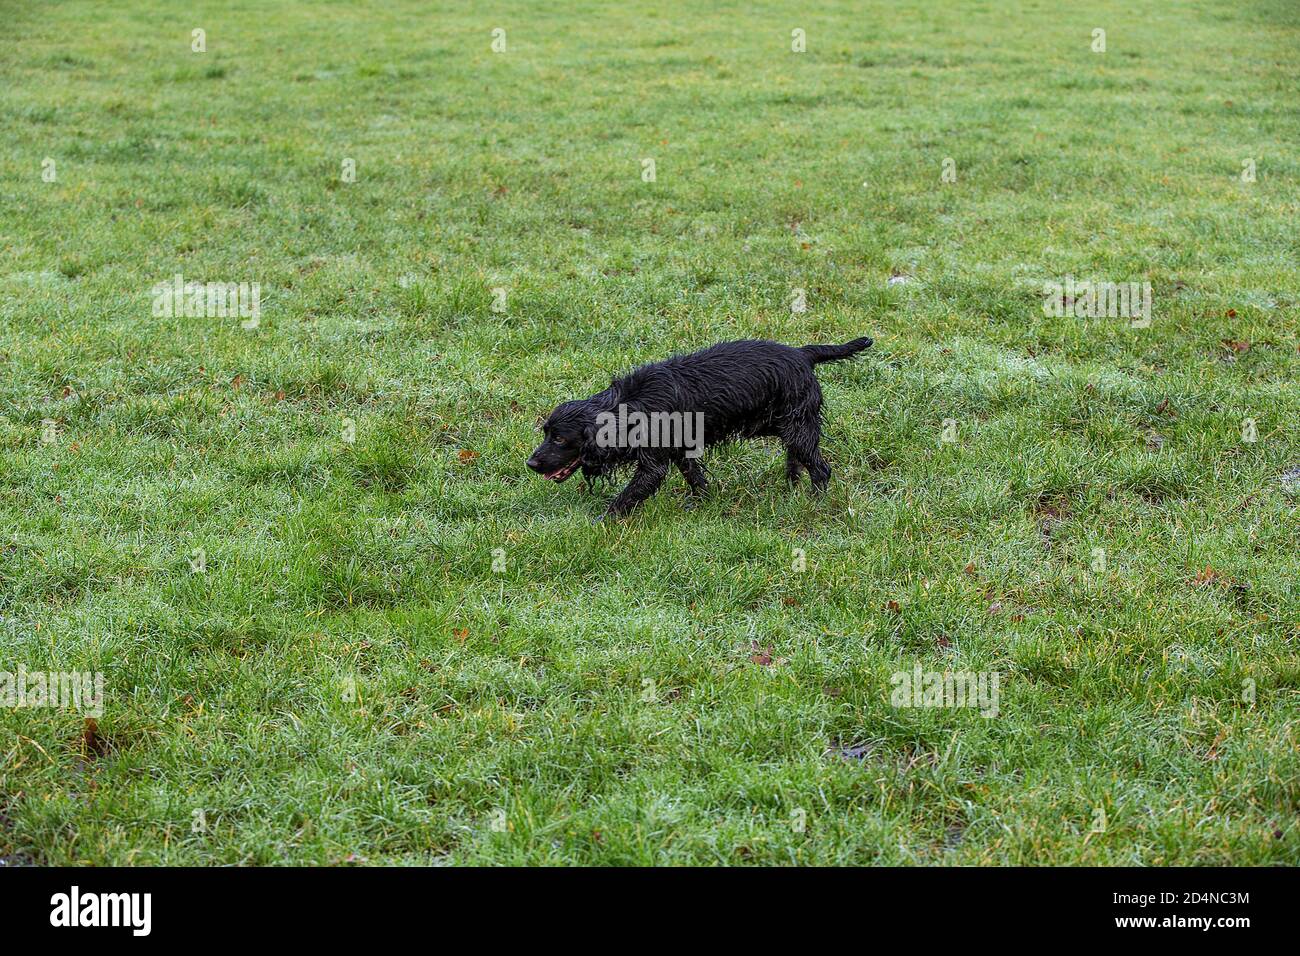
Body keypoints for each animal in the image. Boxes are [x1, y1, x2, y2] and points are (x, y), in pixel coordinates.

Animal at [527, 335, 873, 515]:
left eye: (560, 440)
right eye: (546, 433)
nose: (531, 463)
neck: (629, 406)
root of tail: (803, 354)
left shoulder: (654, 464)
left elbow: (627, 497)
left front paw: (602, 521)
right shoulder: (680, 449)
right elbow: (695, 477)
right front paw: (703, 502)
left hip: (797, 428)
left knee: (821, 469)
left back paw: (814, 503)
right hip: (785, 426)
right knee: (797, 460)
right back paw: (791, 487)